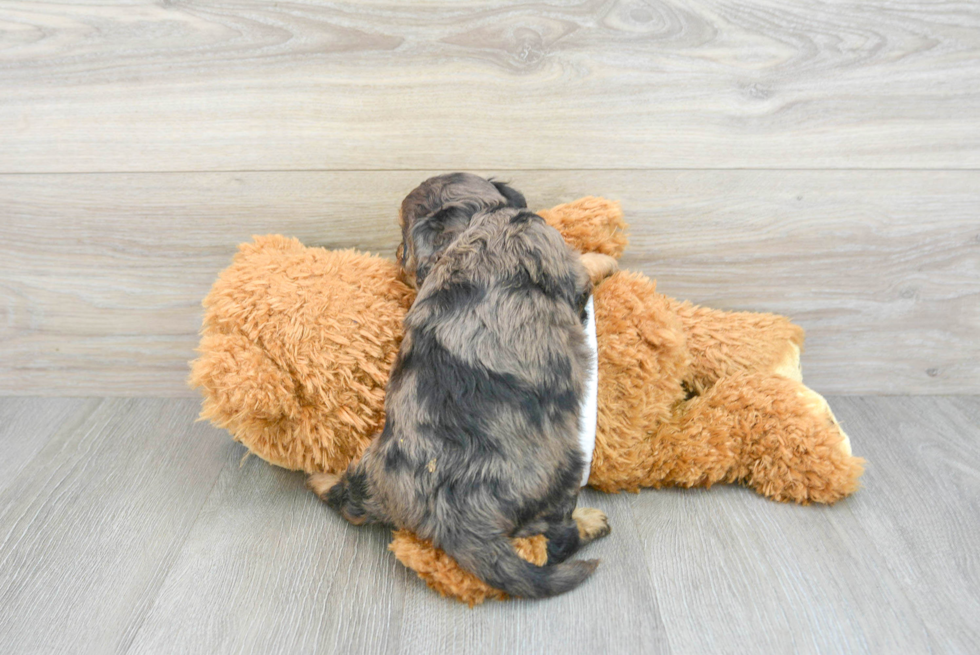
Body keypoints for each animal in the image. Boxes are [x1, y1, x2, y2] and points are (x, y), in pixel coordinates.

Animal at [310, 174, 608, 600]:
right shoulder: (556, 254)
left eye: (404, 242)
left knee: (351, 504)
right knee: (552, 540)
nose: (397, 254)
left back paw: (323, 480)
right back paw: (590, 522)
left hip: (372, 474)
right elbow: (585, 264)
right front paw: (605, 260)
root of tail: (453, 521)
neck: (473, 224)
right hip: (563, 474)